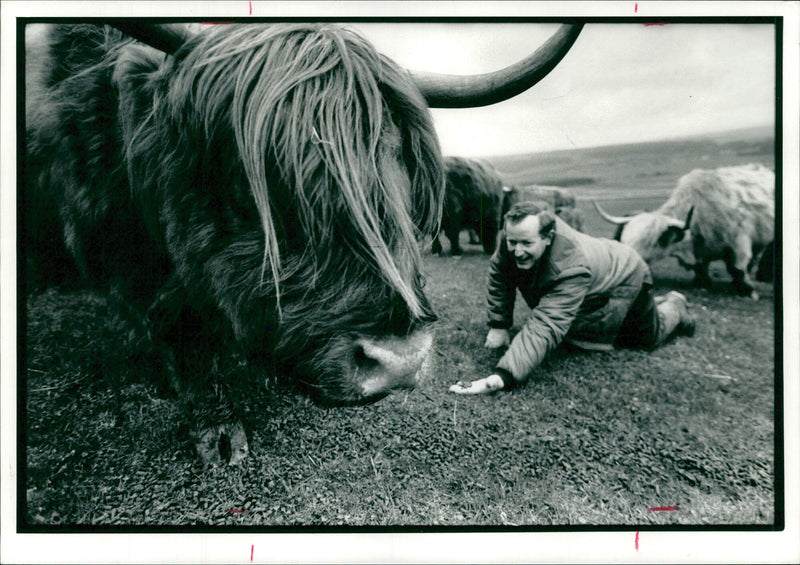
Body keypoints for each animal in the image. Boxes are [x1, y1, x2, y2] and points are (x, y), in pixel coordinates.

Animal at [21, 22, 580, 462]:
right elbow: (183, 333)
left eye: (394, 160)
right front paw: (218, 434)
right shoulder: (128, 258)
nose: (398, 362)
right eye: (246, 173)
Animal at [592, 163, 776, 300]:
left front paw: (748, 290)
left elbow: (737, 268)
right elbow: (701, 266)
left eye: (652, 242)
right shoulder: (701, 249)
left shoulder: (739, 243)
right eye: (624, 239)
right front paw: (702, 283)